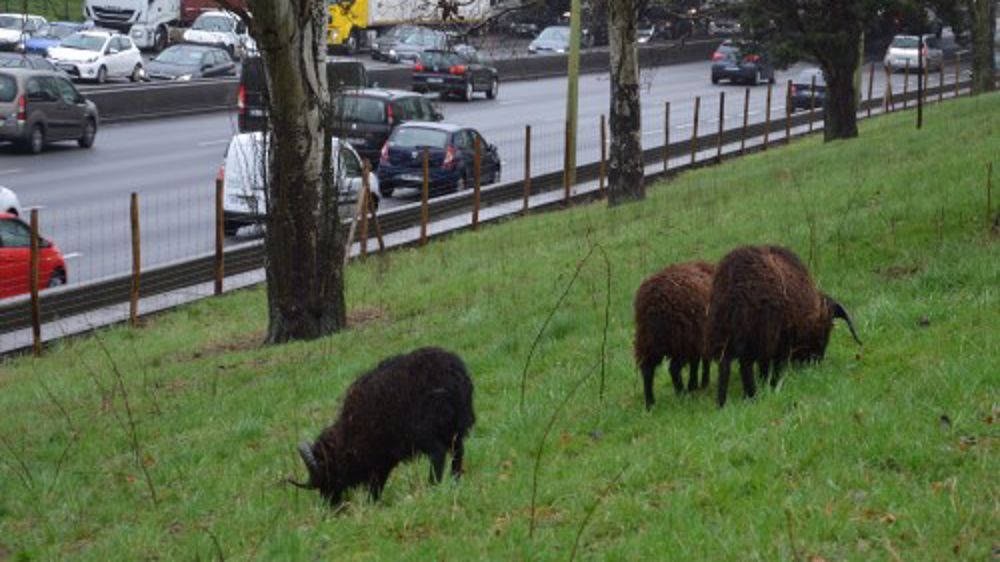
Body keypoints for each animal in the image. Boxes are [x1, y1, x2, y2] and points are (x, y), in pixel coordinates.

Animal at [289, 347, 475, 505]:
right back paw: (454, 482)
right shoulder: (383, 458)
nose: (330, 507)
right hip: (454, 429)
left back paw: (432, 486)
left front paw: (371, 504)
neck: (348, 436)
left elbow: (376, 483)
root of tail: (455, 373)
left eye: (327, 473)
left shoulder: (379, 457)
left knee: (438, 453)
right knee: (458, 452)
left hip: (425, 431)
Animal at [633, 261, 716, 409]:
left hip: (646, 339)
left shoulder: (697, 341)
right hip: (681, 339)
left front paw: (695, 385)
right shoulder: (700, 339)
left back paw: (650, 403)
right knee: (674, 369)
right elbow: (701, 362)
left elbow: (696, 363)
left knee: (647, 369)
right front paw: (699, 384)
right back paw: (682, 395)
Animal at [707, 245, 862, 407]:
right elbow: (776, 366)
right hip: (753, 335)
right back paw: (752, 396)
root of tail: (734, 282)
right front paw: (773, 385)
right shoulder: (783, 340)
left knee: (724, 366)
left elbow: (764, 366)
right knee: (745, 366)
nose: (817, 360)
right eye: (826, 328)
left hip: (721, 334)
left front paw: (765, 384)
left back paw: (722, 403)